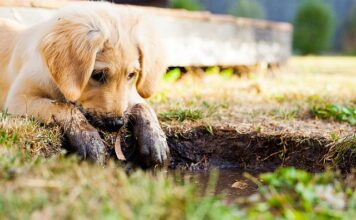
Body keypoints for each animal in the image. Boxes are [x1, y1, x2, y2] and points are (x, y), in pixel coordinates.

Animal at [0, 3, 169, 167]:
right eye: (98, 75)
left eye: (131, 75)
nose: (117, 124)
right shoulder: (18, 99)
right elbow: (64, 106)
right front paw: (88, 139)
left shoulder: (128, 95)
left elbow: (143, 106)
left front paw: (155, 139)